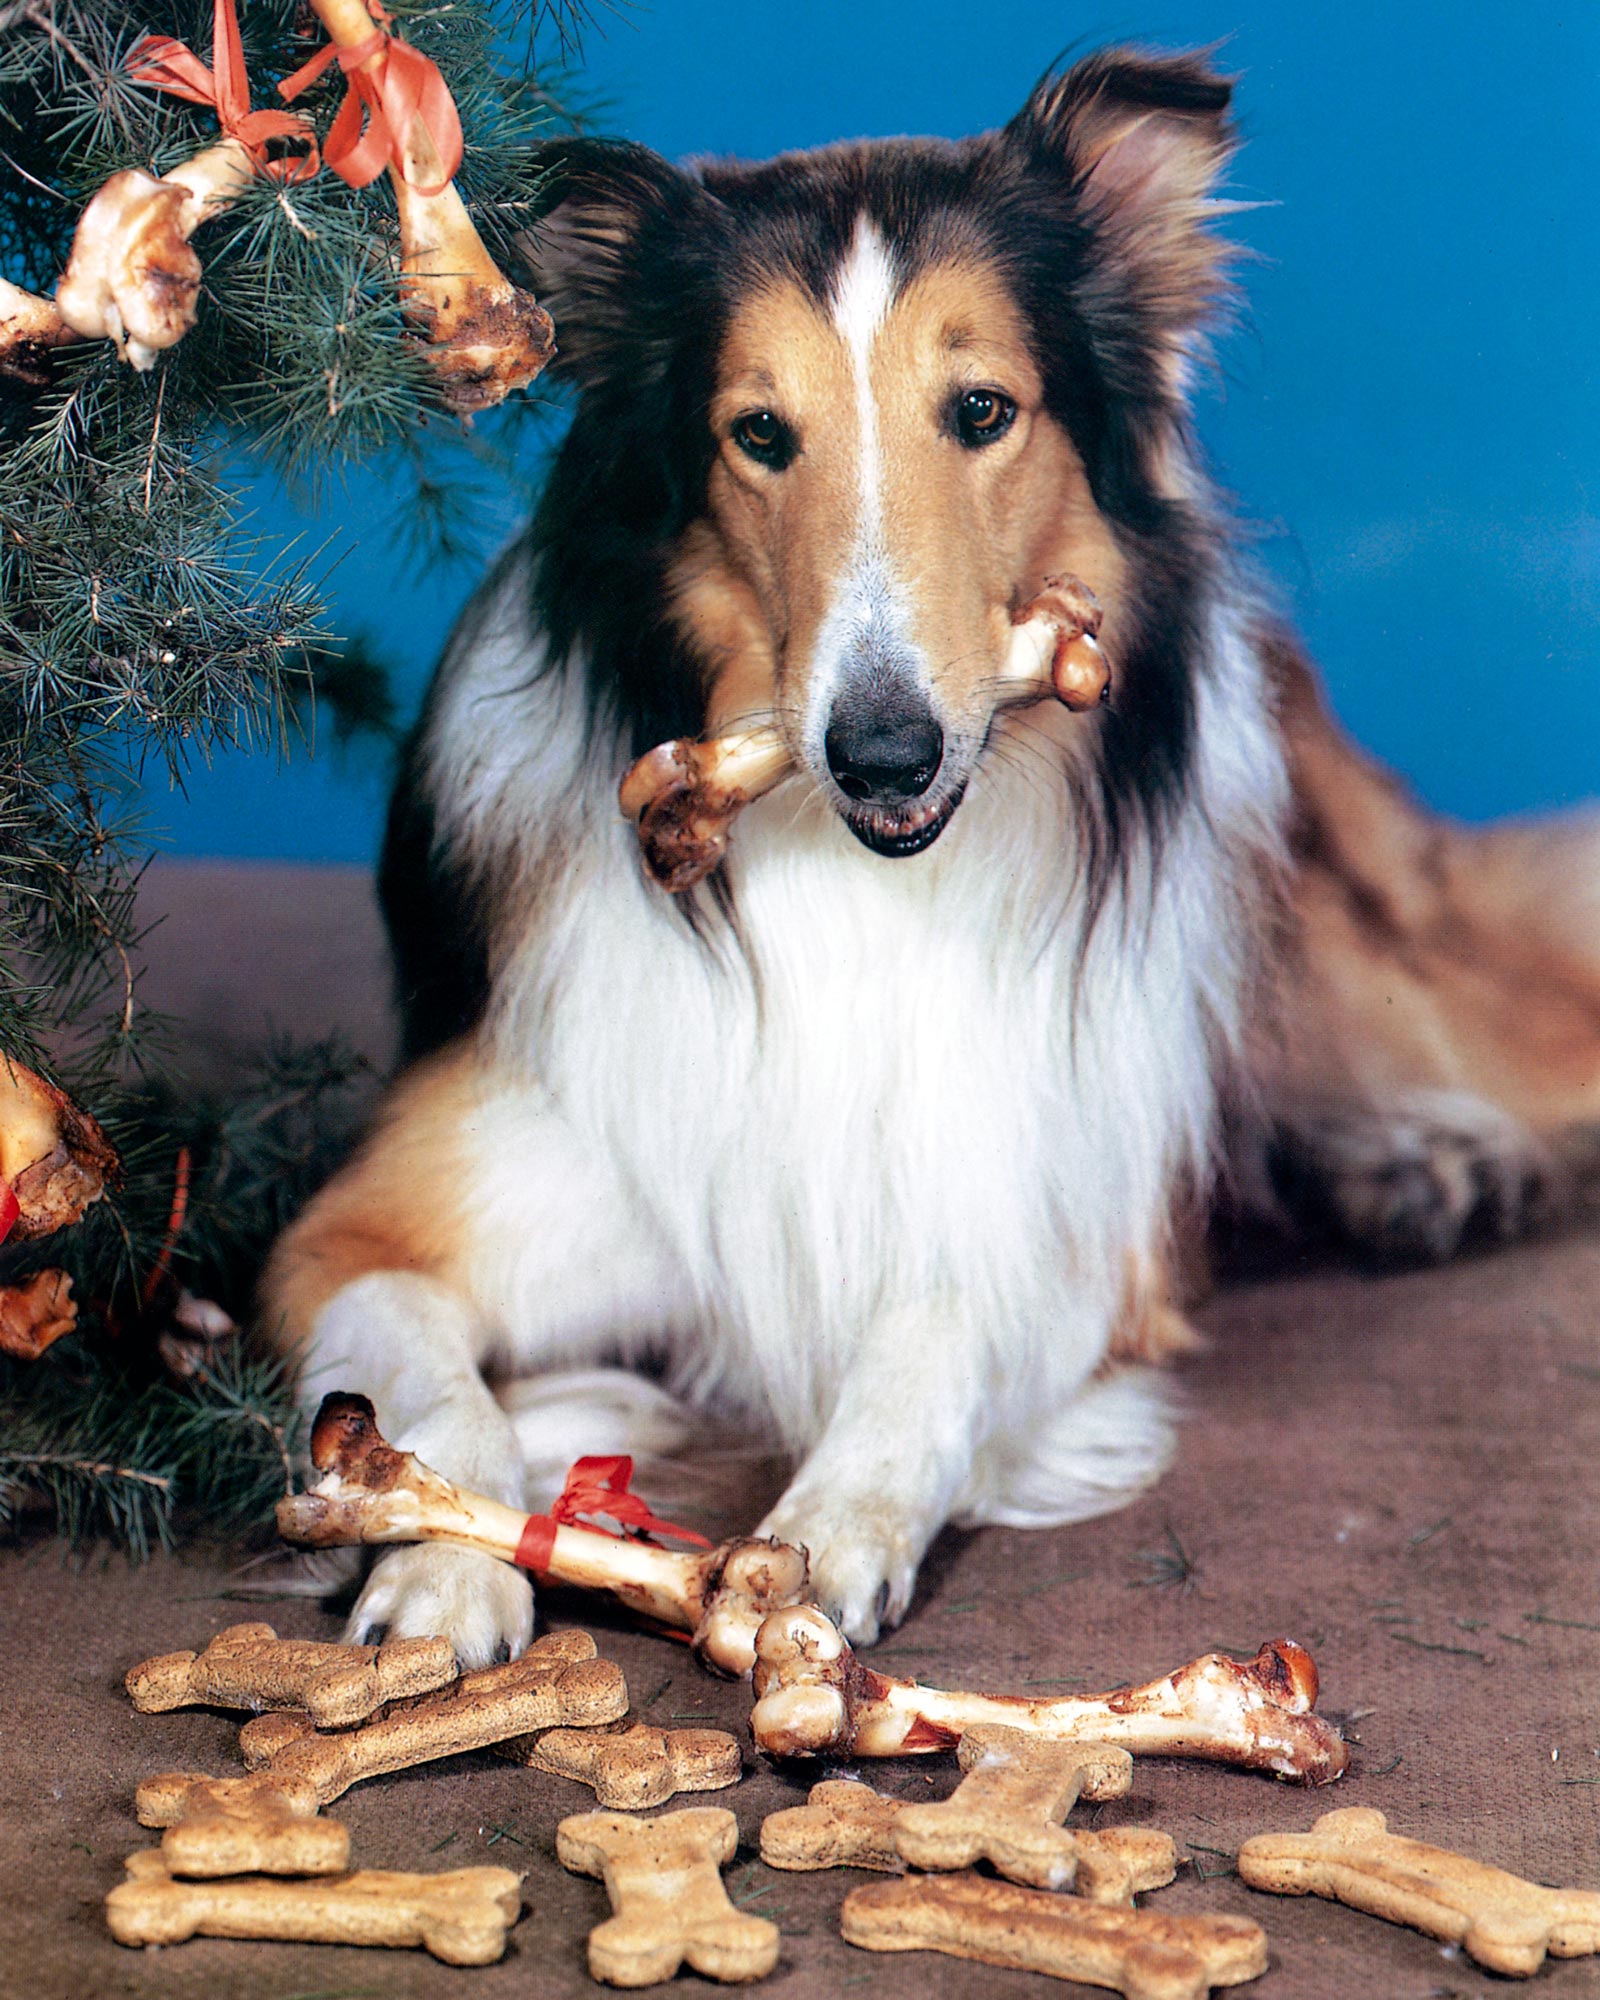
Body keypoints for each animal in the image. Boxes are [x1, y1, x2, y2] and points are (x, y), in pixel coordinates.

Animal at [262, 54, 1600, 1664]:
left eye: (981, 409)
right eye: (758, 434)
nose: (883, 754)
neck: (862, 882)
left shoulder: (1060, 1213)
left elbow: (932, 1327)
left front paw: (829, 1529)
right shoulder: (367, 1228)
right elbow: (413, 1374)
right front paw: (442, 1558)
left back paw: (1442, 1153)